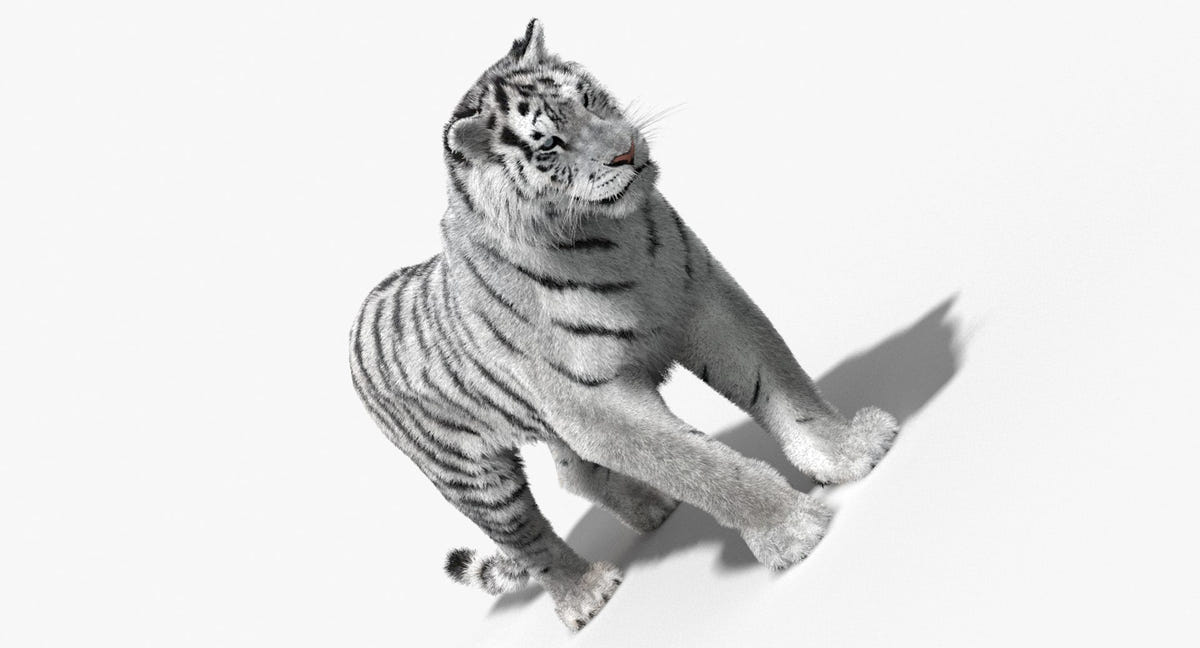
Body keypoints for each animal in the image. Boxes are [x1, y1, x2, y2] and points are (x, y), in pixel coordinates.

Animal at [348, 19, 900, 631]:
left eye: (588, 100)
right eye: (549, 144)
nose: (627, 149)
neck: (609, 237)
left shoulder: (704, 301)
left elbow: (780, 384)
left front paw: (849, 452)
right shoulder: (597, 404)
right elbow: (699, 465)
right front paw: (792, 530)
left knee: (575, 476)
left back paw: (652, 506)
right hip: (473, 476)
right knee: (529, 540)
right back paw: (586, 594)